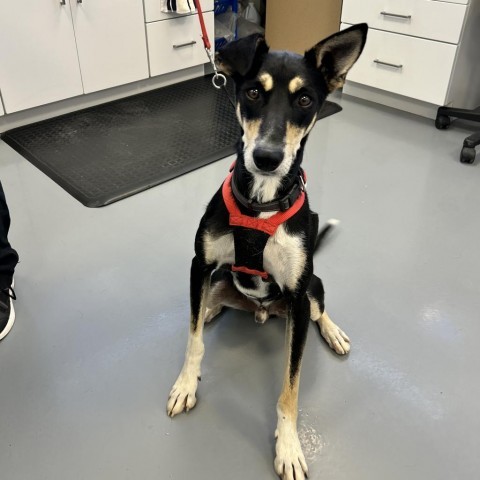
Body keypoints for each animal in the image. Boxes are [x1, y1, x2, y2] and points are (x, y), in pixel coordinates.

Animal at [168, 24, 368, 478]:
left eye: (305, 100)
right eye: (253, 93)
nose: (266, 158)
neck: (262, 202)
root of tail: (261, 312)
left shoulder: (296, 293)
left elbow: (290, 389)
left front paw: (289, 446)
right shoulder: (199, 265)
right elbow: (194, 339)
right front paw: (186, 383)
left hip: (312, 286)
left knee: (319, 309)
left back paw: (332, 332)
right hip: (219, 278)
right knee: (207, 306)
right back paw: (211, 309)